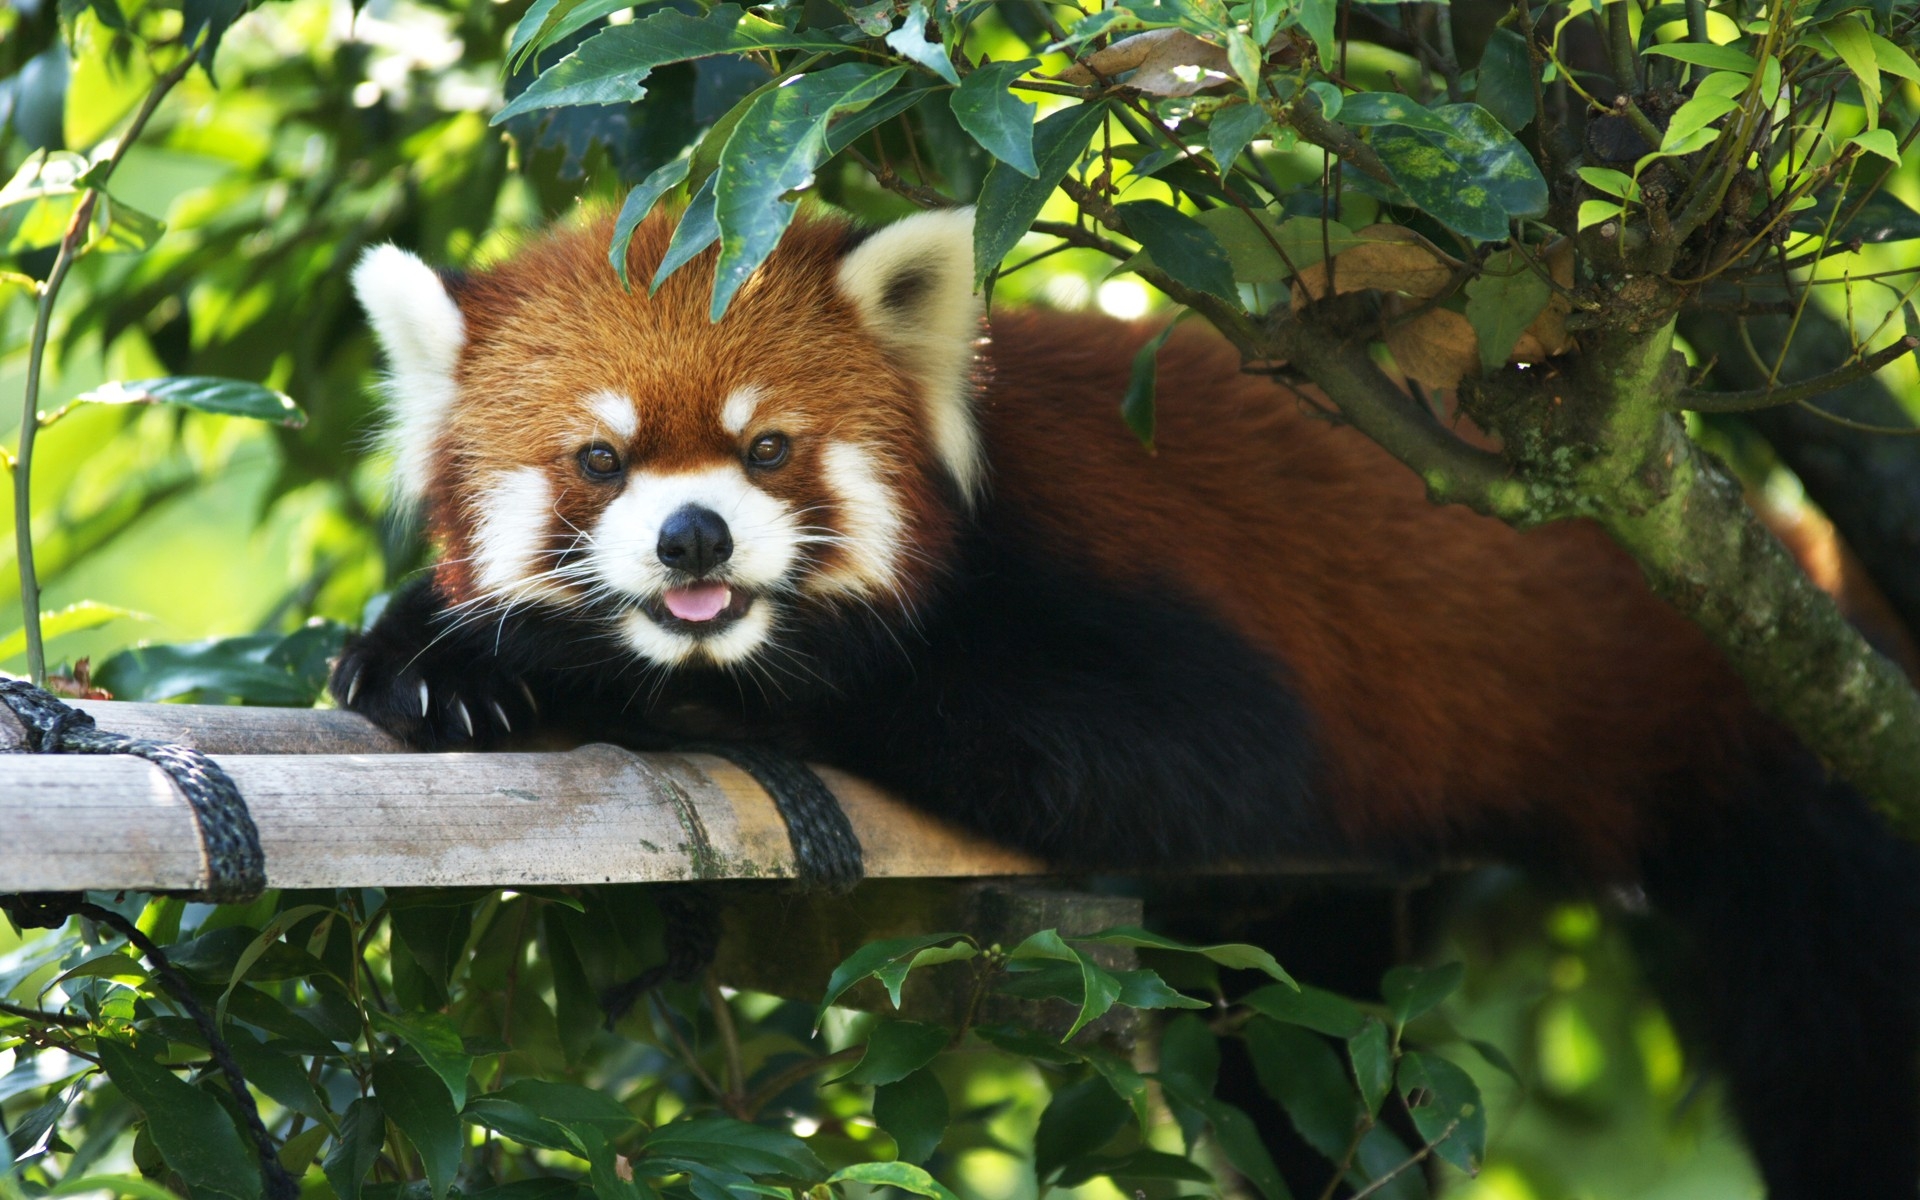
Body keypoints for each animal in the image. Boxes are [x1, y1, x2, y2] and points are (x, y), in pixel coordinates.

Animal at [334, 208, 1920, 1198]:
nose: (692, 543)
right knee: (1290, 1066)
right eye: (599, 462)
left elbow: (1181, 755)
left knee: (1845, 1050)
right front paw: (429, 650)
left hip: (1777, 773)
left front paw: (582, 666)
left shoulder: (1124, 596)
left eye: (769, 448)